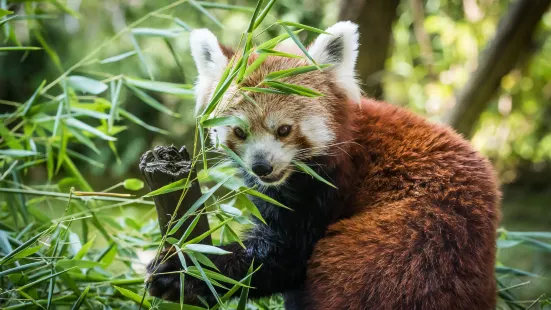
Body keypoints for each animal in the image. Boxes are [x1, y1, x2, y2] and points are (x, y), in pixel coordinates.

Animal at [147, 21, 500, 310]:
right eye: (239, 131)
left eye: (284, 130)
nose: (262, 167)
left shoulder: (327, 189)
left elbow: (283, 257)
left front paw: (184, 270)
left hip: (401, 250)